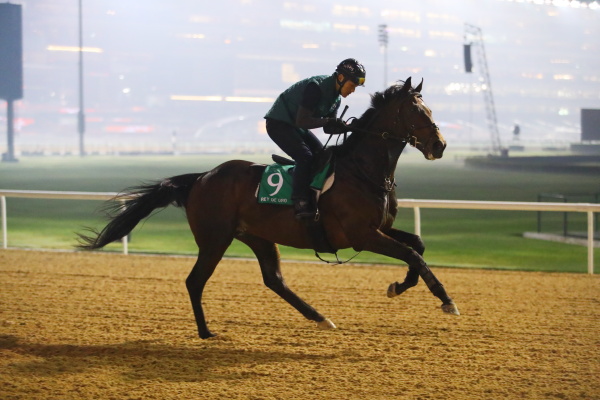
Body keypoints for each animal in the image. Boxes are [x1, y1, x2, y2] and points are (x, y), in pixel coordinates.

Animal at [76, 76, 460, 340]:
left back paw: (320, 317)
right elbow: (413, 254)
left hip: (257, 236)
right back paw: (206, 332)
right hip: (215, 238)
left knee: (274, 279)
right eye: (415, 111)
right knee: (195, 281)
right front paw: (446, 300)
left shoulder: (380, 228)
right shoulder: (361, 236)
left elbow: (417, 246)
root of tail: (202, 176)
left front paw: (399, 286)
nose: (439, 145)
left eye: (429, 109)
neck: (363, 170)